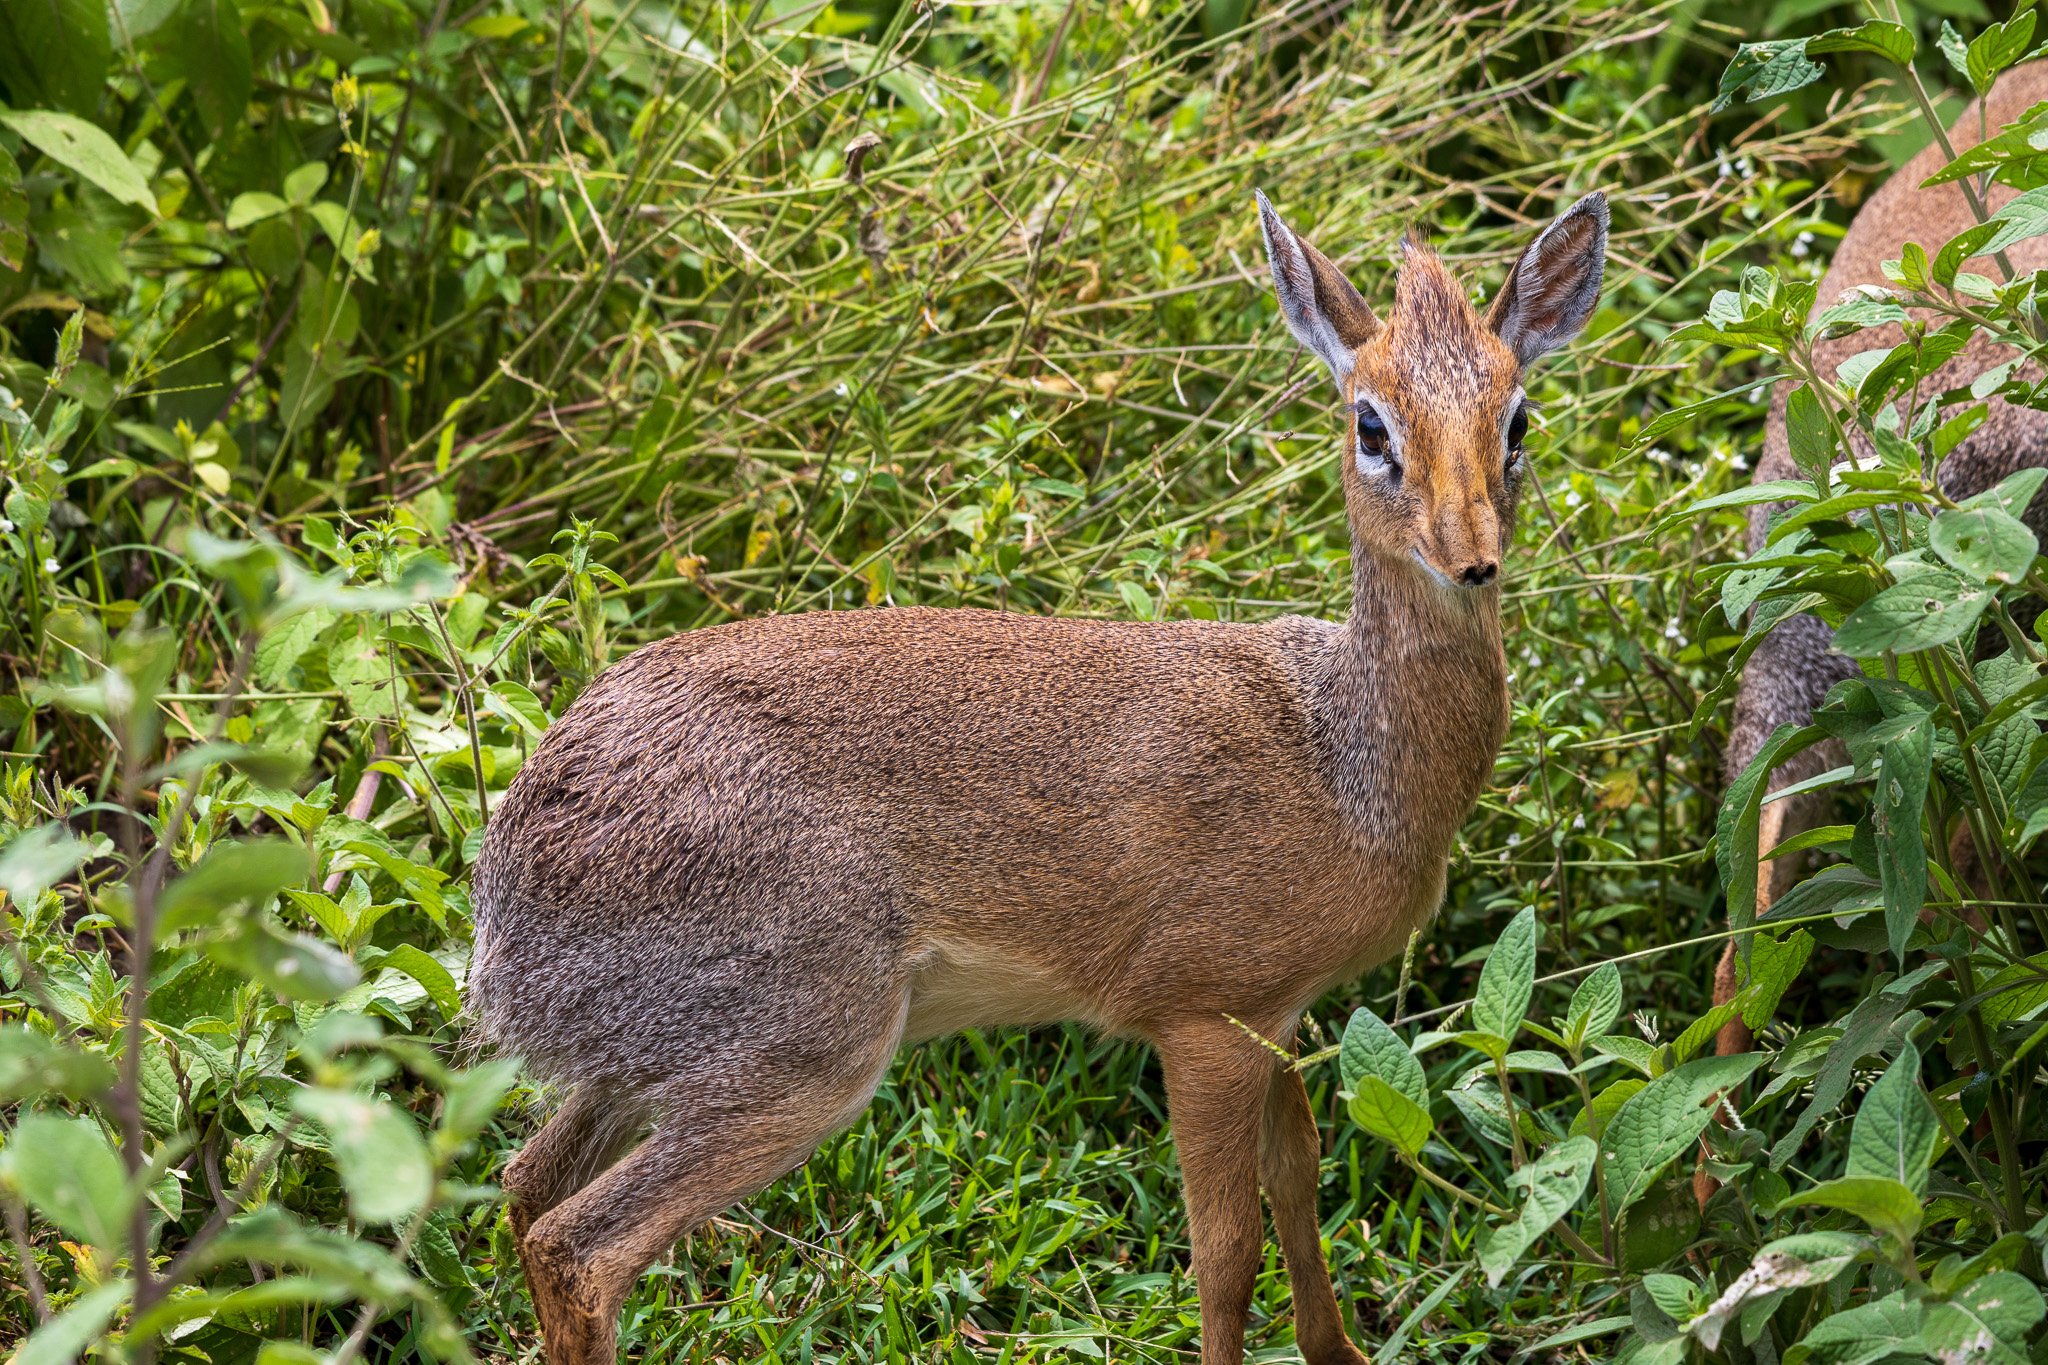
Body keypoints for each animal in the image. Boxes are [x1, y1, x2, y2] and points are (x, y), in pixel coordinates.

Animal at [471, 192, 1605, 1365]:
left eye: (1517, 419)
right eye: (1371, 424)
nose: (1470, 554)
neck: (1345, 758)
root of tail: (502, 908)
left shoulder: (1279, 1017)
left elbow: (1298, 1190)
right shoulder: (1201, 1017)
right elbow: (1223, 1251)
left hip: (644, 1065)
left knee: (522, 1183)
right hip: (800, 1055)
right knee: (578, 1246)